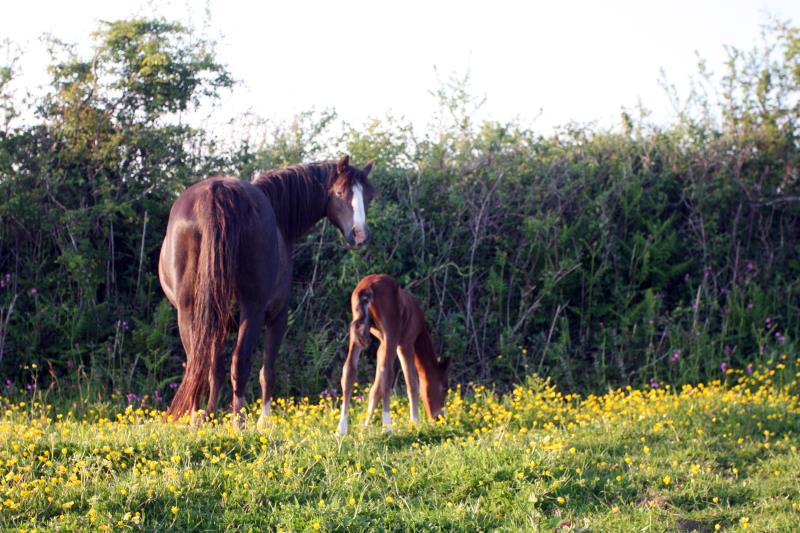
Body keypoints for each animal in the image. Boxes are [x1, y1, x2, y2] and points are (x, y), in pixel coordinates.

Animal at [162, 155, 378, 428]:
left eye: (368, 196)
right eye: (340, 192)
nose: (360, 236)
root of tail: (217, 192)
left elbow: (215, 369)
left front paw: (209, 416)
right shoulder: (278, 316)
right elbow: (266, 372)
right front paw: (263, 422)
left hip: (189, 311)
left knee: (197, 364)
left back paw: (196, 419)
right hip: (252, 311)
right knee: (240, 363)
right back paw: (240, 421)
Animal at [336, 272, 450, 434]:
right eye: (445, 389)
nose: (439, 418)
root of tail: (366, 289)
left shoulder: (382, 345)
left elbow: (375, 389)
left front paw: (365, 426)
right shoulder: (405, 343)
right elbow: (412, 383)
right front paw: (415, 423)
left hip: (357, 332)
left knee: (349, 370)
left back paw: (341, 429)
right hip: (392, 332)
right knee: (387, 373)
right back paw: (387, 427)